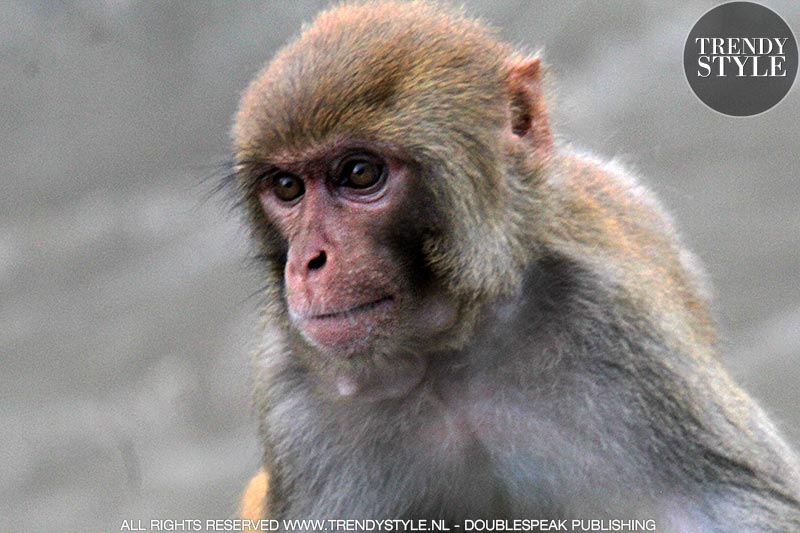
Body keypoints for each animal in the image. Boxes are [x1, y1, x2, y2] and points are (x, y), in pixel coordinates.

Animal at [227, 2, 800, 528]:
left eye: (359, 174)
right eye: (287, 187)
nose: (309, 262)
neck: (448, 353)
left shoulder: (616, 327)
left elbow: (732, 505)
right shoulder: (297, 402)